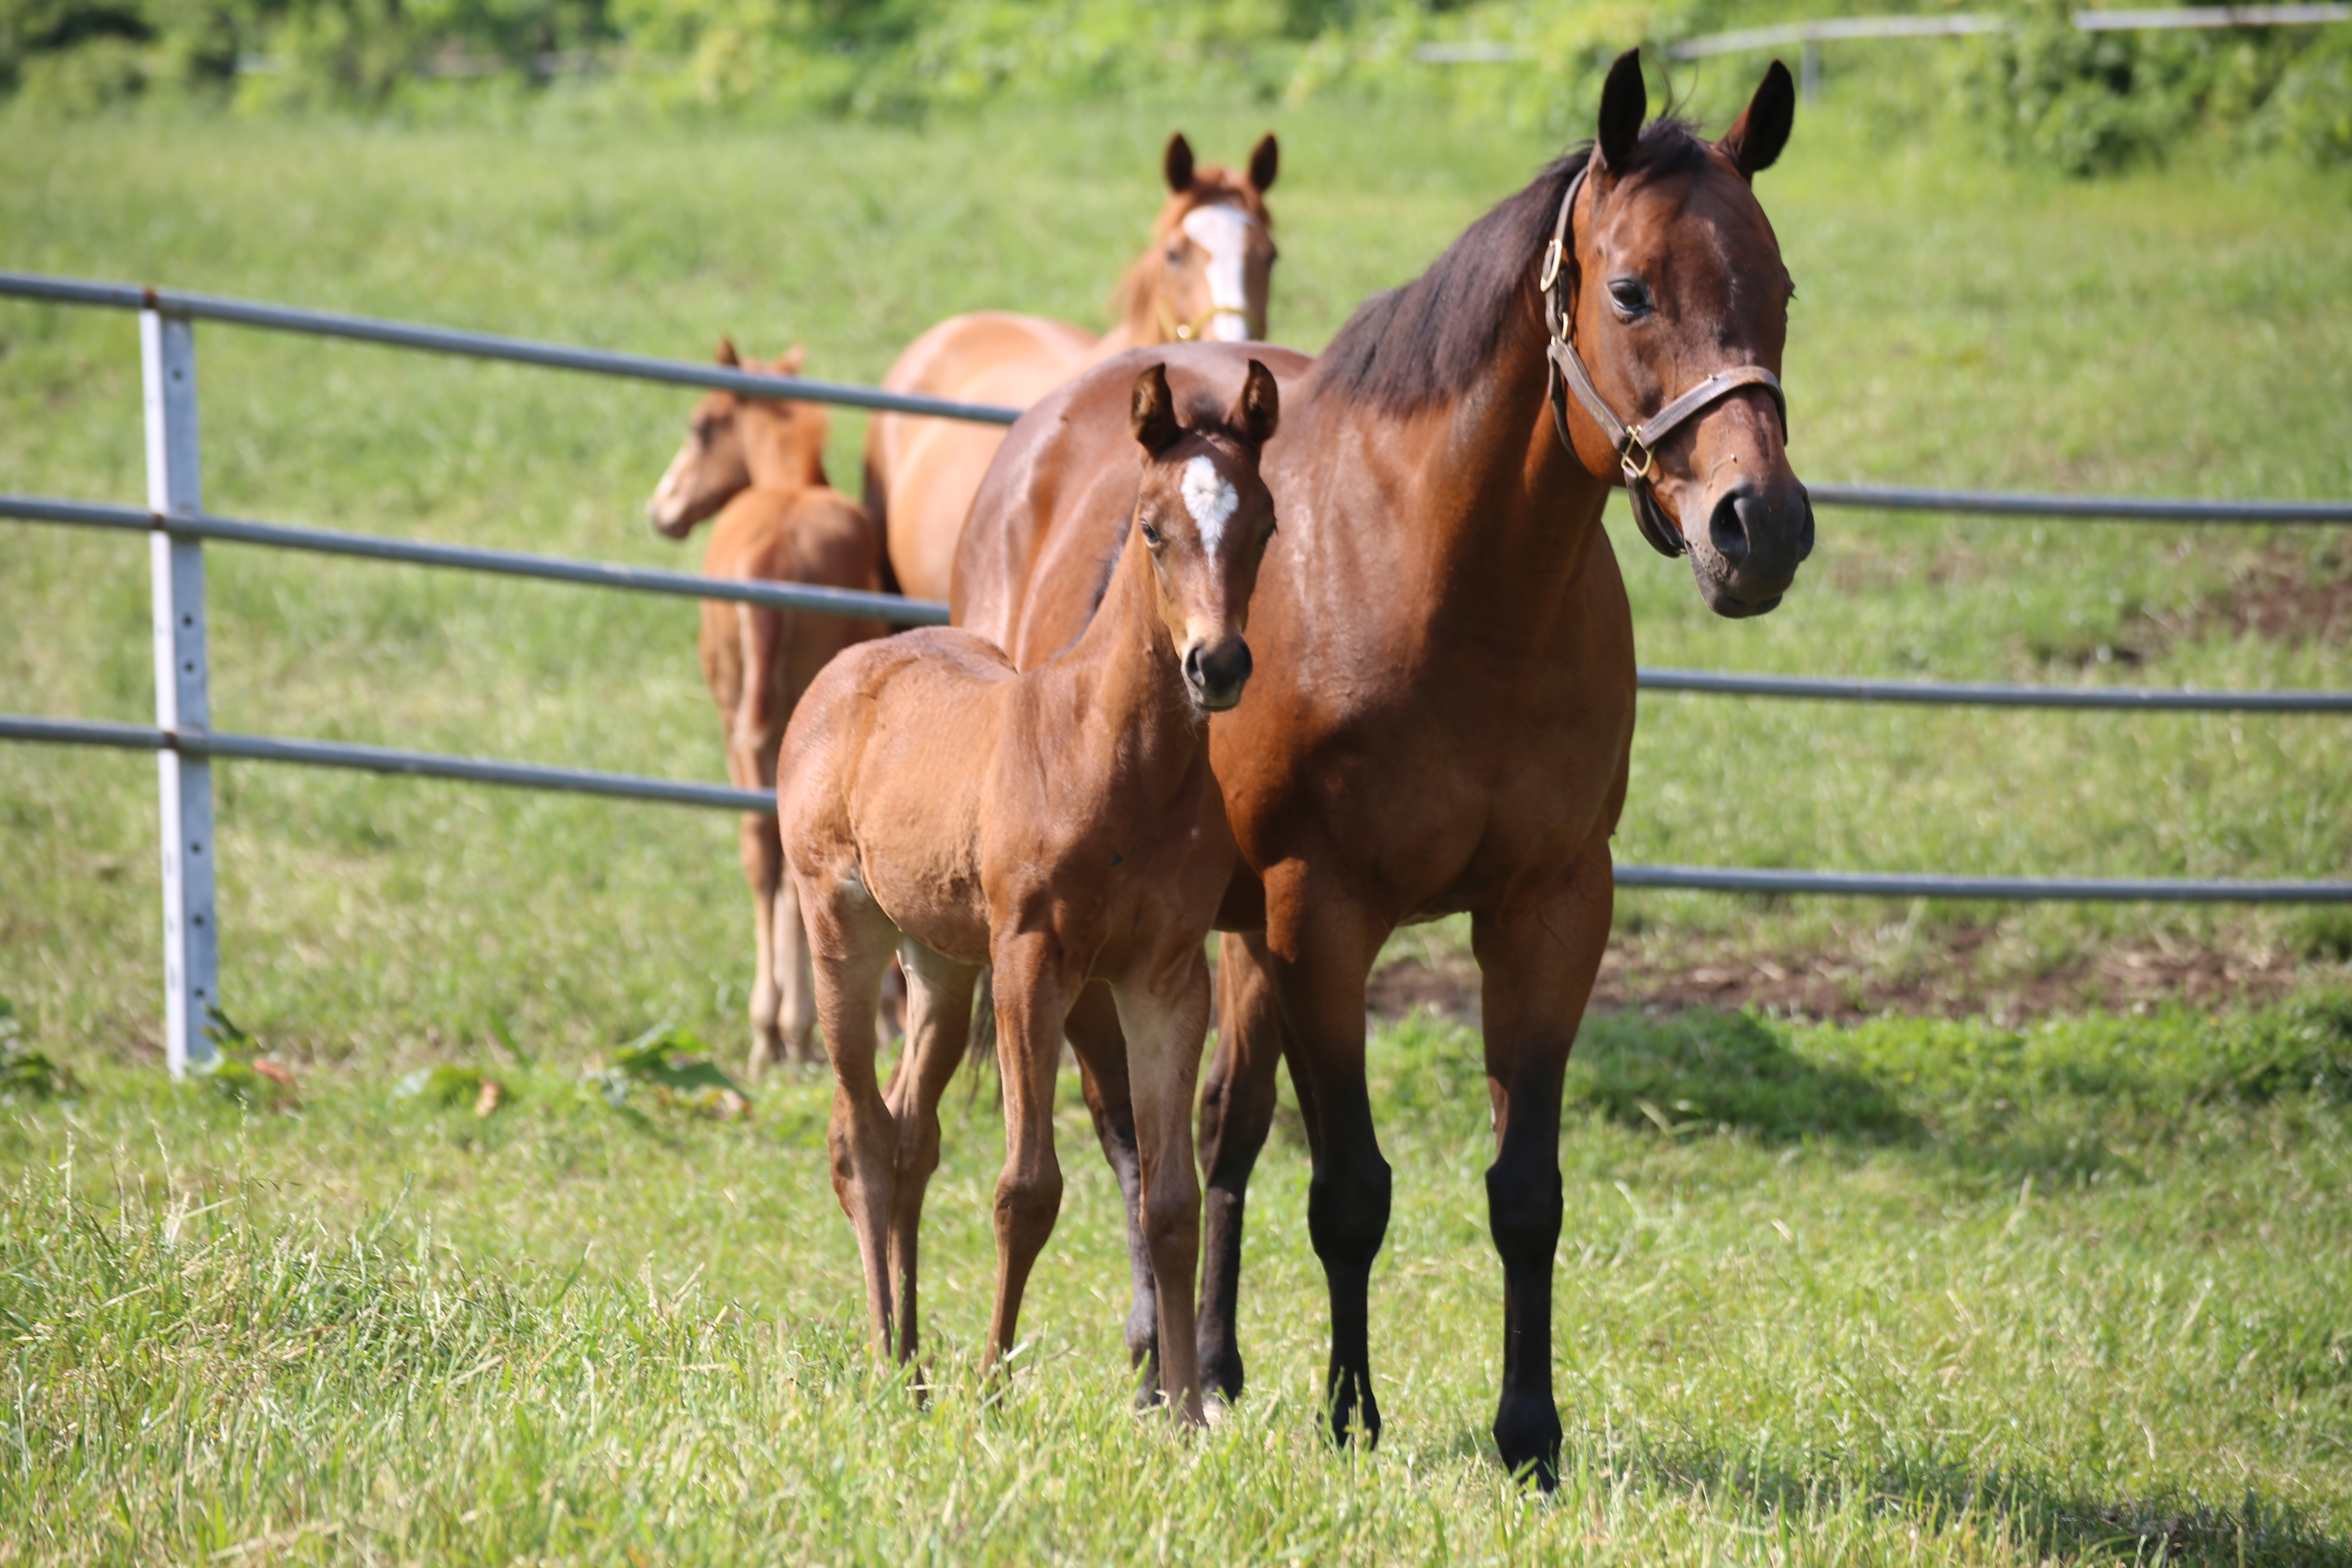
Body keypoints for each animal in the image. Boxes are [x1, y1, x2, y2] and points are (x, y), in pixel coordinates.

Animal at [649, 341, 884, 1081]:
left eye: (701, 426)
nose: (661, 511)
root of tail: (776, 549)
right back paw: (788, 1026)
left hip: (745, 723)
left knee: (768, 850)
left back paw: (777, 1028)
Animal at [781, 362, 1279, 1429]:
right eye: (1150, 527)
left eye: (1263, 523)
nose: (1216, 665)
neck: (1112, 759)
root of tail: (848, 667)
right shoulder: (1032, 960)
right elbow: (1027, 1185)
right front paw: (993, 1390)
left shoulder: (1165, 978)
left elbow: (1170, 1201)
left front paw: (1184, 1413)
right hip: (844, 926)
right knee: (857, 1135)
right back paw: (890, 1362)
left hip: (939, 961)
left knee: (908, 1137)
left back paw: (913, 1365)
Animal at [955, 55, 1815, 1495]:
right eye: (1633, 291)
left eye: (1784, 289)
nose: (1761, 527)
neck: (1453, 586)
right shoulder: (1324, 915)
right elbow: (1349, 1189)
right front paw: (1351, 1415)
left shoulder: (1549, 911)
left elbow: (1525, 1192)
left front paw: (1530, 1434)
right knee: (1131, 1130)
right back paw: (1152, 1356)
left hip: (1228, 941)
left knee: (1222, 1132)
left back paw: (1215, 1364)